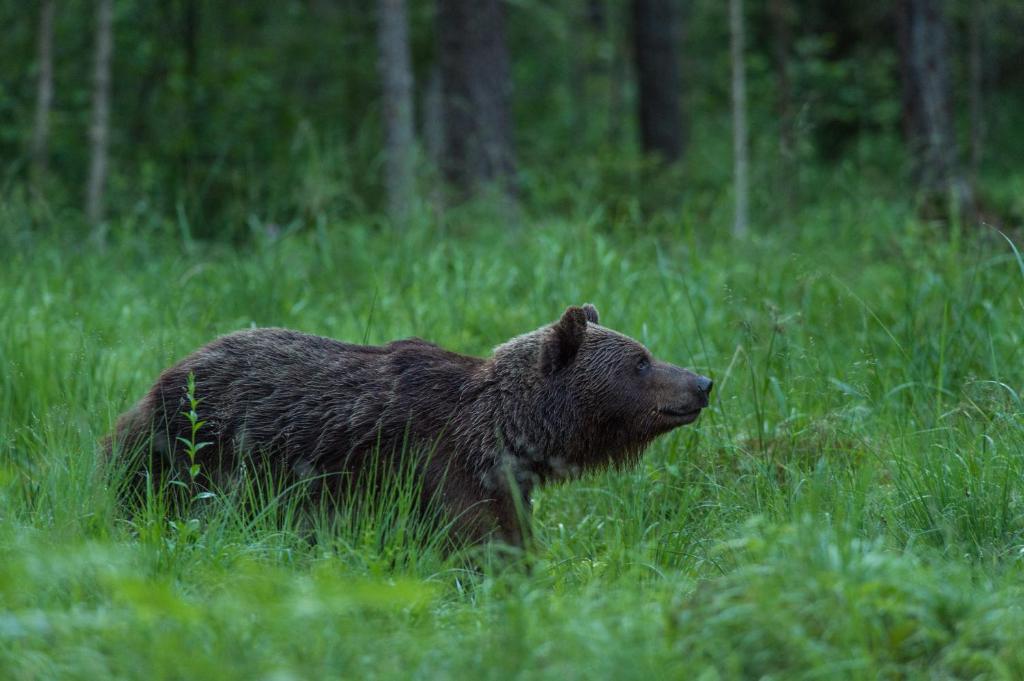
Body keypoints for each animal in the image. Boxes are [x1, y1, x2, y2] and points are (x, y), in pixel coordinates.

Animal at [105, 304, 712, 549]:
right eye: (641, 362)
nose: (703, 382)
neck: (508, 432)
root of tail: (161, 377)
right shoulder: (439, 466)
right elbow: (476, 543)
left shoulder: (504, 481)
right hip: (194, 452)